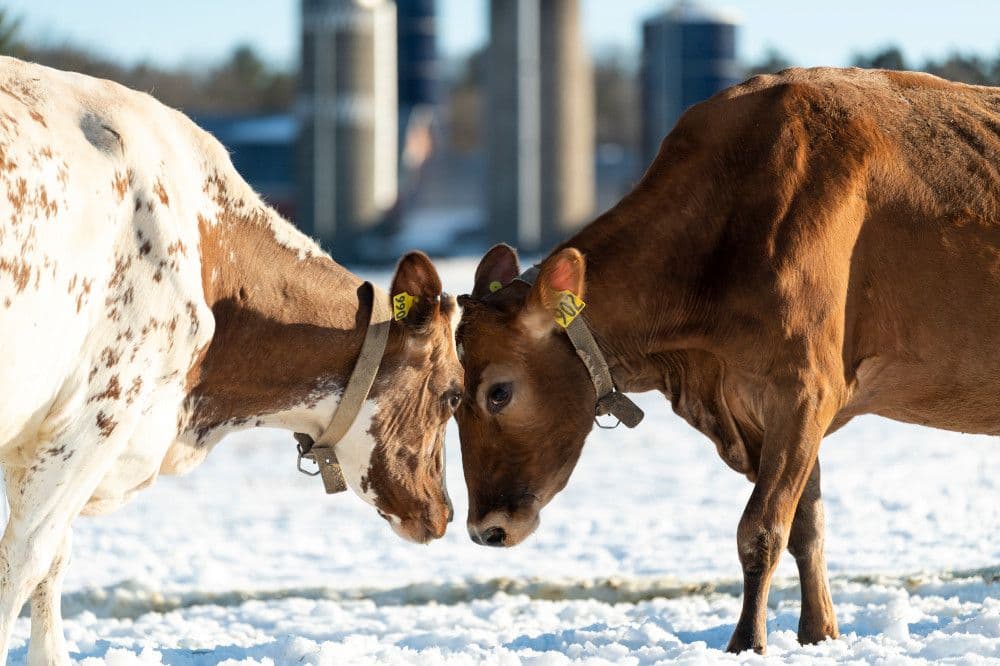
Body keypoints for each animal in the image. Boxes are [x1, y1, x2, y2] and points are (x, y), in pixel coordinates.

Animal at [0, 56, 462, 665]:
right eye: (453, 393)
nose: (444, 512)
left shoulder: (37, 435)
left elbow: (52, 563)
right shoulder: (97, 412)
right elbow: (27, 560)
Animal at [454, 67, 1000, 654]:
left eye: (499, 391)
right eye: (451, 401)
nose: (485, 529)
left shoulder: (806, 390)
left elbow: (760, 529)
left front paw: (746, 643)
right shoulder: (762, 404)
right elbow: (806, 528)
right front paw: (818, 635)